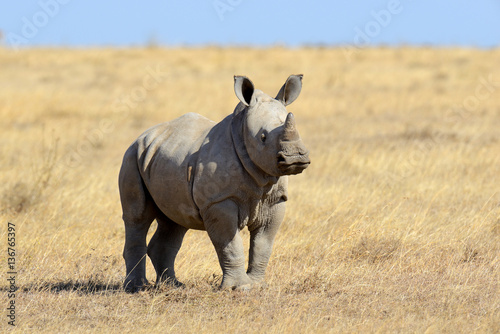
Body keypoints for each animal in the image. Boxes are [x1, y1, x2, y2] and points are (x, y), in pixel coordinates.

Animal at [119, 74, 310, 290]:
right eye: (263, 137)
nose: (295, 158)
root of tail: (143, 135)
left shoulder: (276, 199)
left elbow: (264, 243)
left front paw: (257, 286)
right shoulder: (218, 200)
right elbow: (230, 244)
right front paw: (240, 288)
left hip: (162, 157)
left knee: (175, 220)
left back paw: (173, 286)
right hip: (132, 156)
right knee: (137, 217)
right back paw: (136, 288)